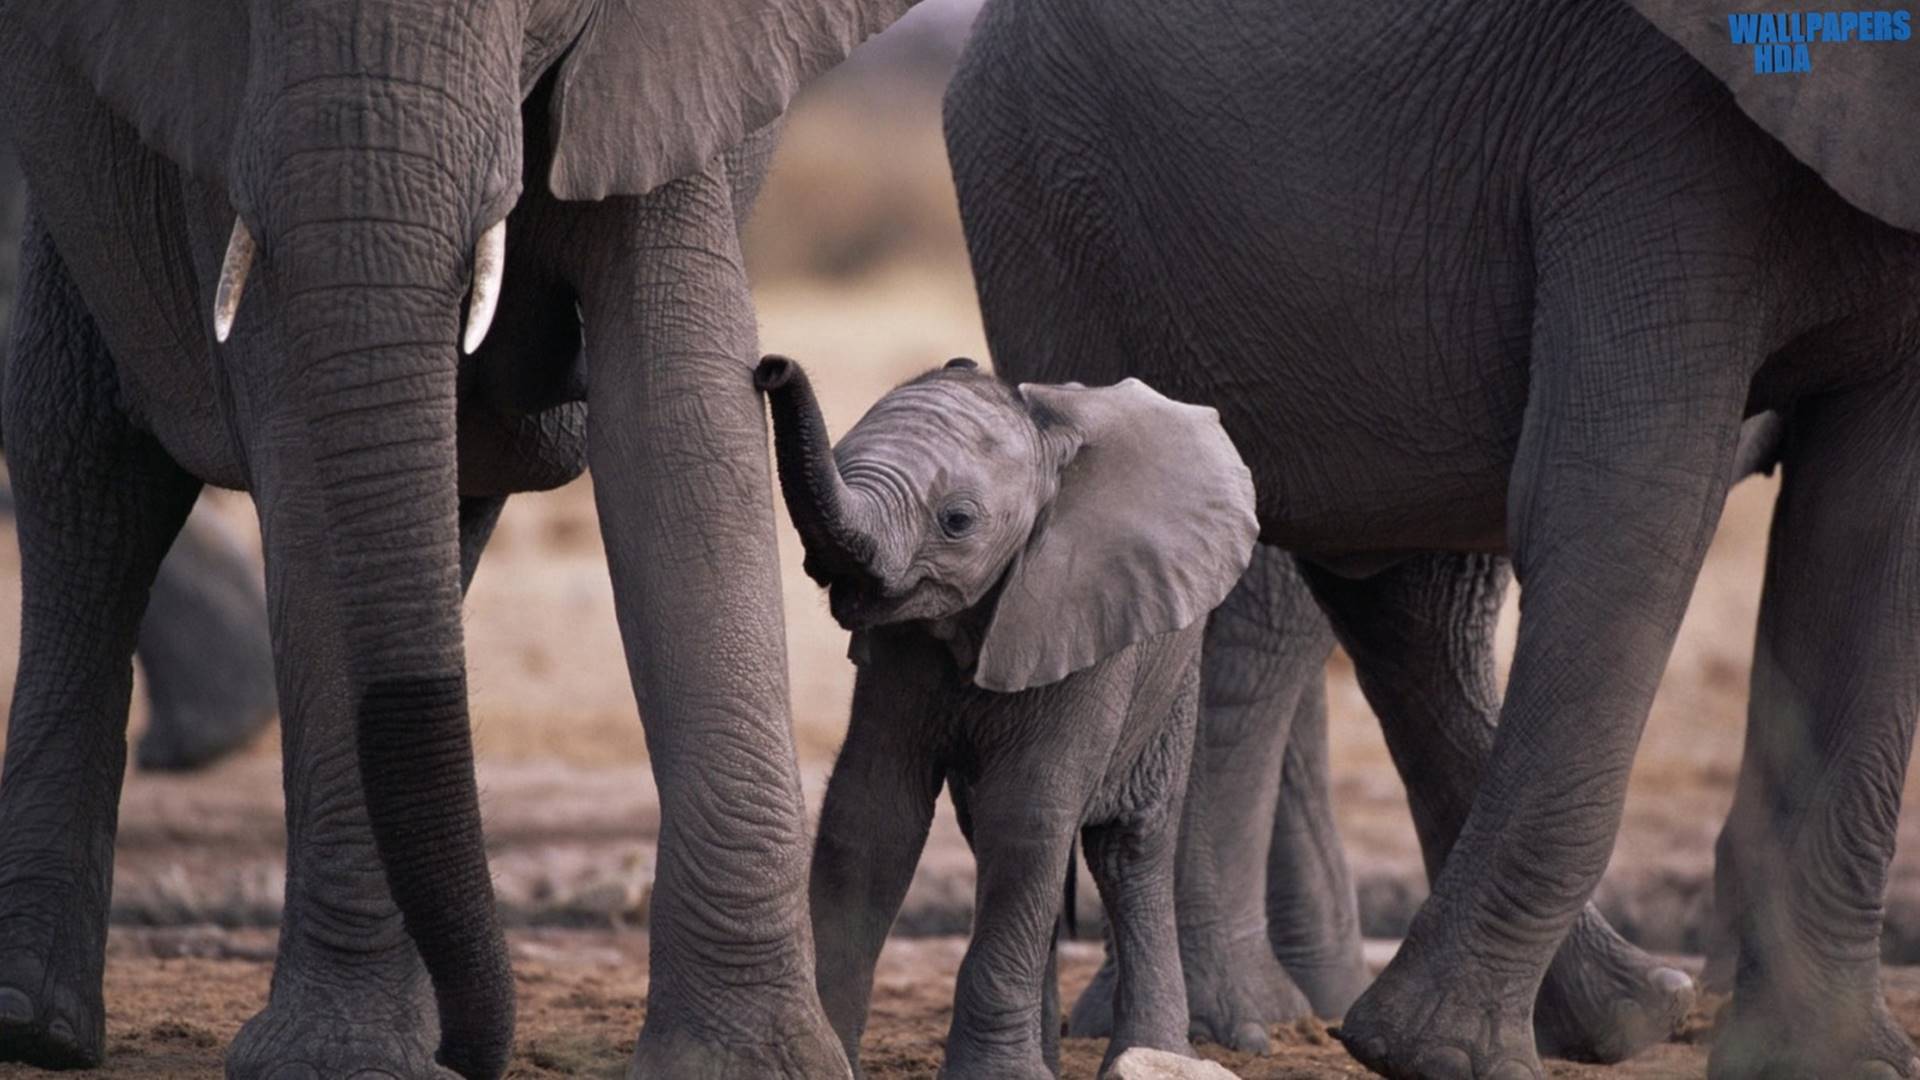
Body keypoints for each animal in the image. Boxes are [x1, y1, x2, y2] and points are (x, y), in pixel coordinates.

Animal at [761, 355, 1260, 1077]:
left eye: (957, 521)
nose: (770, 368)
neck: (1045, 440)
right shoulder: (899, 647)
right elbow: (872, 814)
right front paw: (832, 1057)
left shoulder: (1084, 613)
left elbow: (1026, 816)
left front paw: (995, 1076)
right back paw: (1048, 1059)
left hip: (1172, 670)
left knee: (1126, 848)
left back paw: (1150, 1054)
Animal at [946, 0, 1920, 1077]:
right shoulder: (1645, 133)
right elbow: (1625, 499)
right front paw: (1436, 1058)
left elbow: (1871, 547)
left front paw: (1831, 1060)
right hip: (1052, 201)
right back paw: (1229, 1029)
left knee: (1398, 594)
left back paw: (1626, 1015)